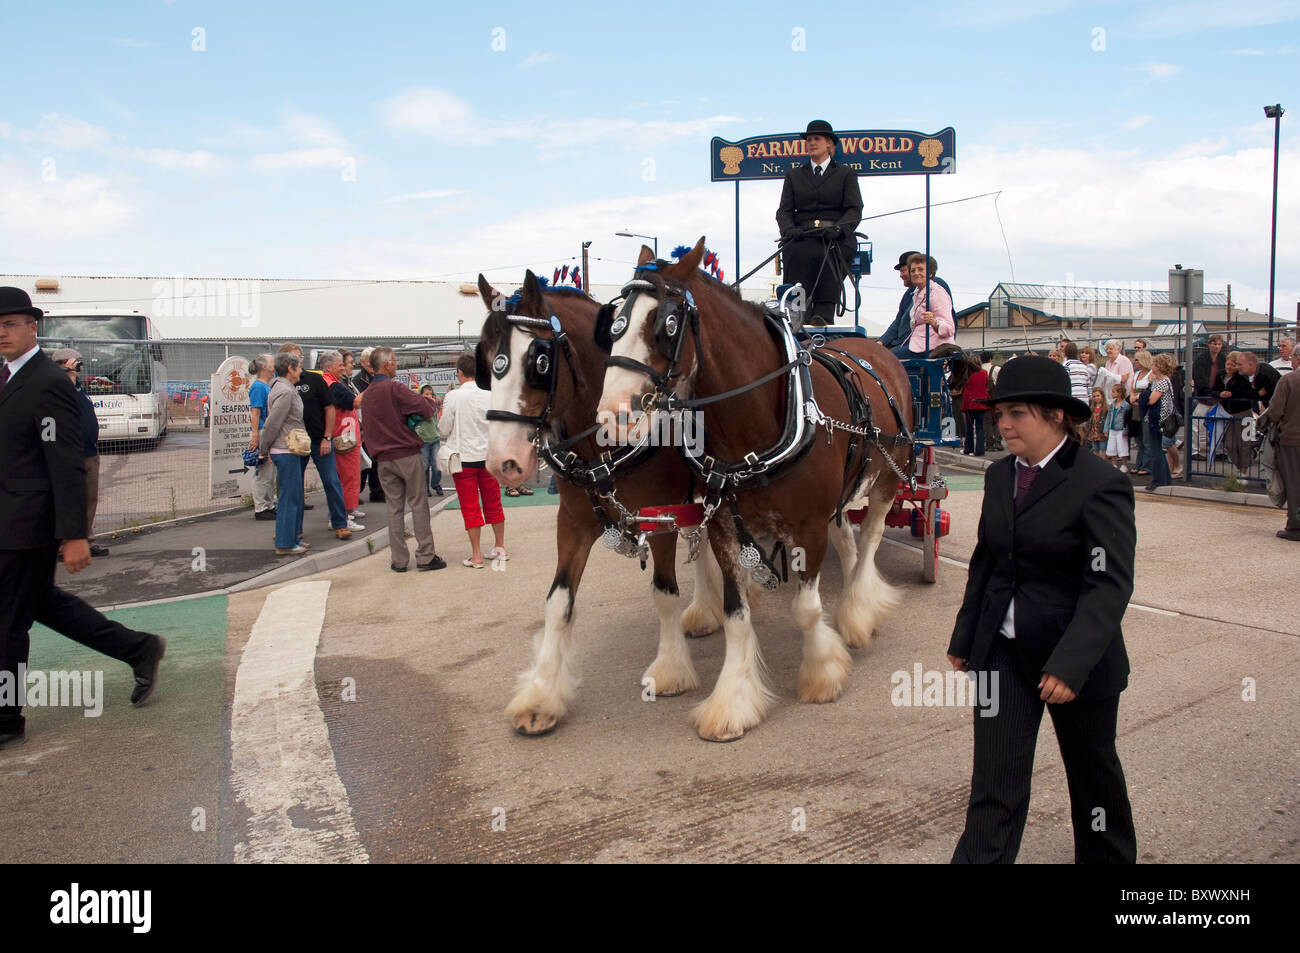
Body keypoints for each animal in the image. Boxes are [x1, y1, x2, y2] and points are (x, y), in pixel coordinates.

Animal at [475, 271, 722, 733]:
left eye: (539, 362)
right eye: (484, 360)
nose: (504, 464)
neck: (605, 444)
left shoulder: (659, 518)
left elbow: (664, 591)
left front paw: (670, 671)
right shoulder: (572, 523)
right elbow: (557, 603)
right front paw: (541, 695)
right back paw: (706, 609)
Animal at [598, 239, 915, 743]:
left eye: (667, 324)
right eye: (614, 323)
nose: (611, 416)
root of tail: (873, 348)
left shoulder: (808, 526)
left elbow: (806, 608)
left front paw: (822, 672)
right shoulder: (725, 526)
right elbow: (735, 615)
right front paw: (733, 700)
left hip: (888, 476)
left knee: (870, 539)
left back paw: (859, 611)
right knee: (848, 537)